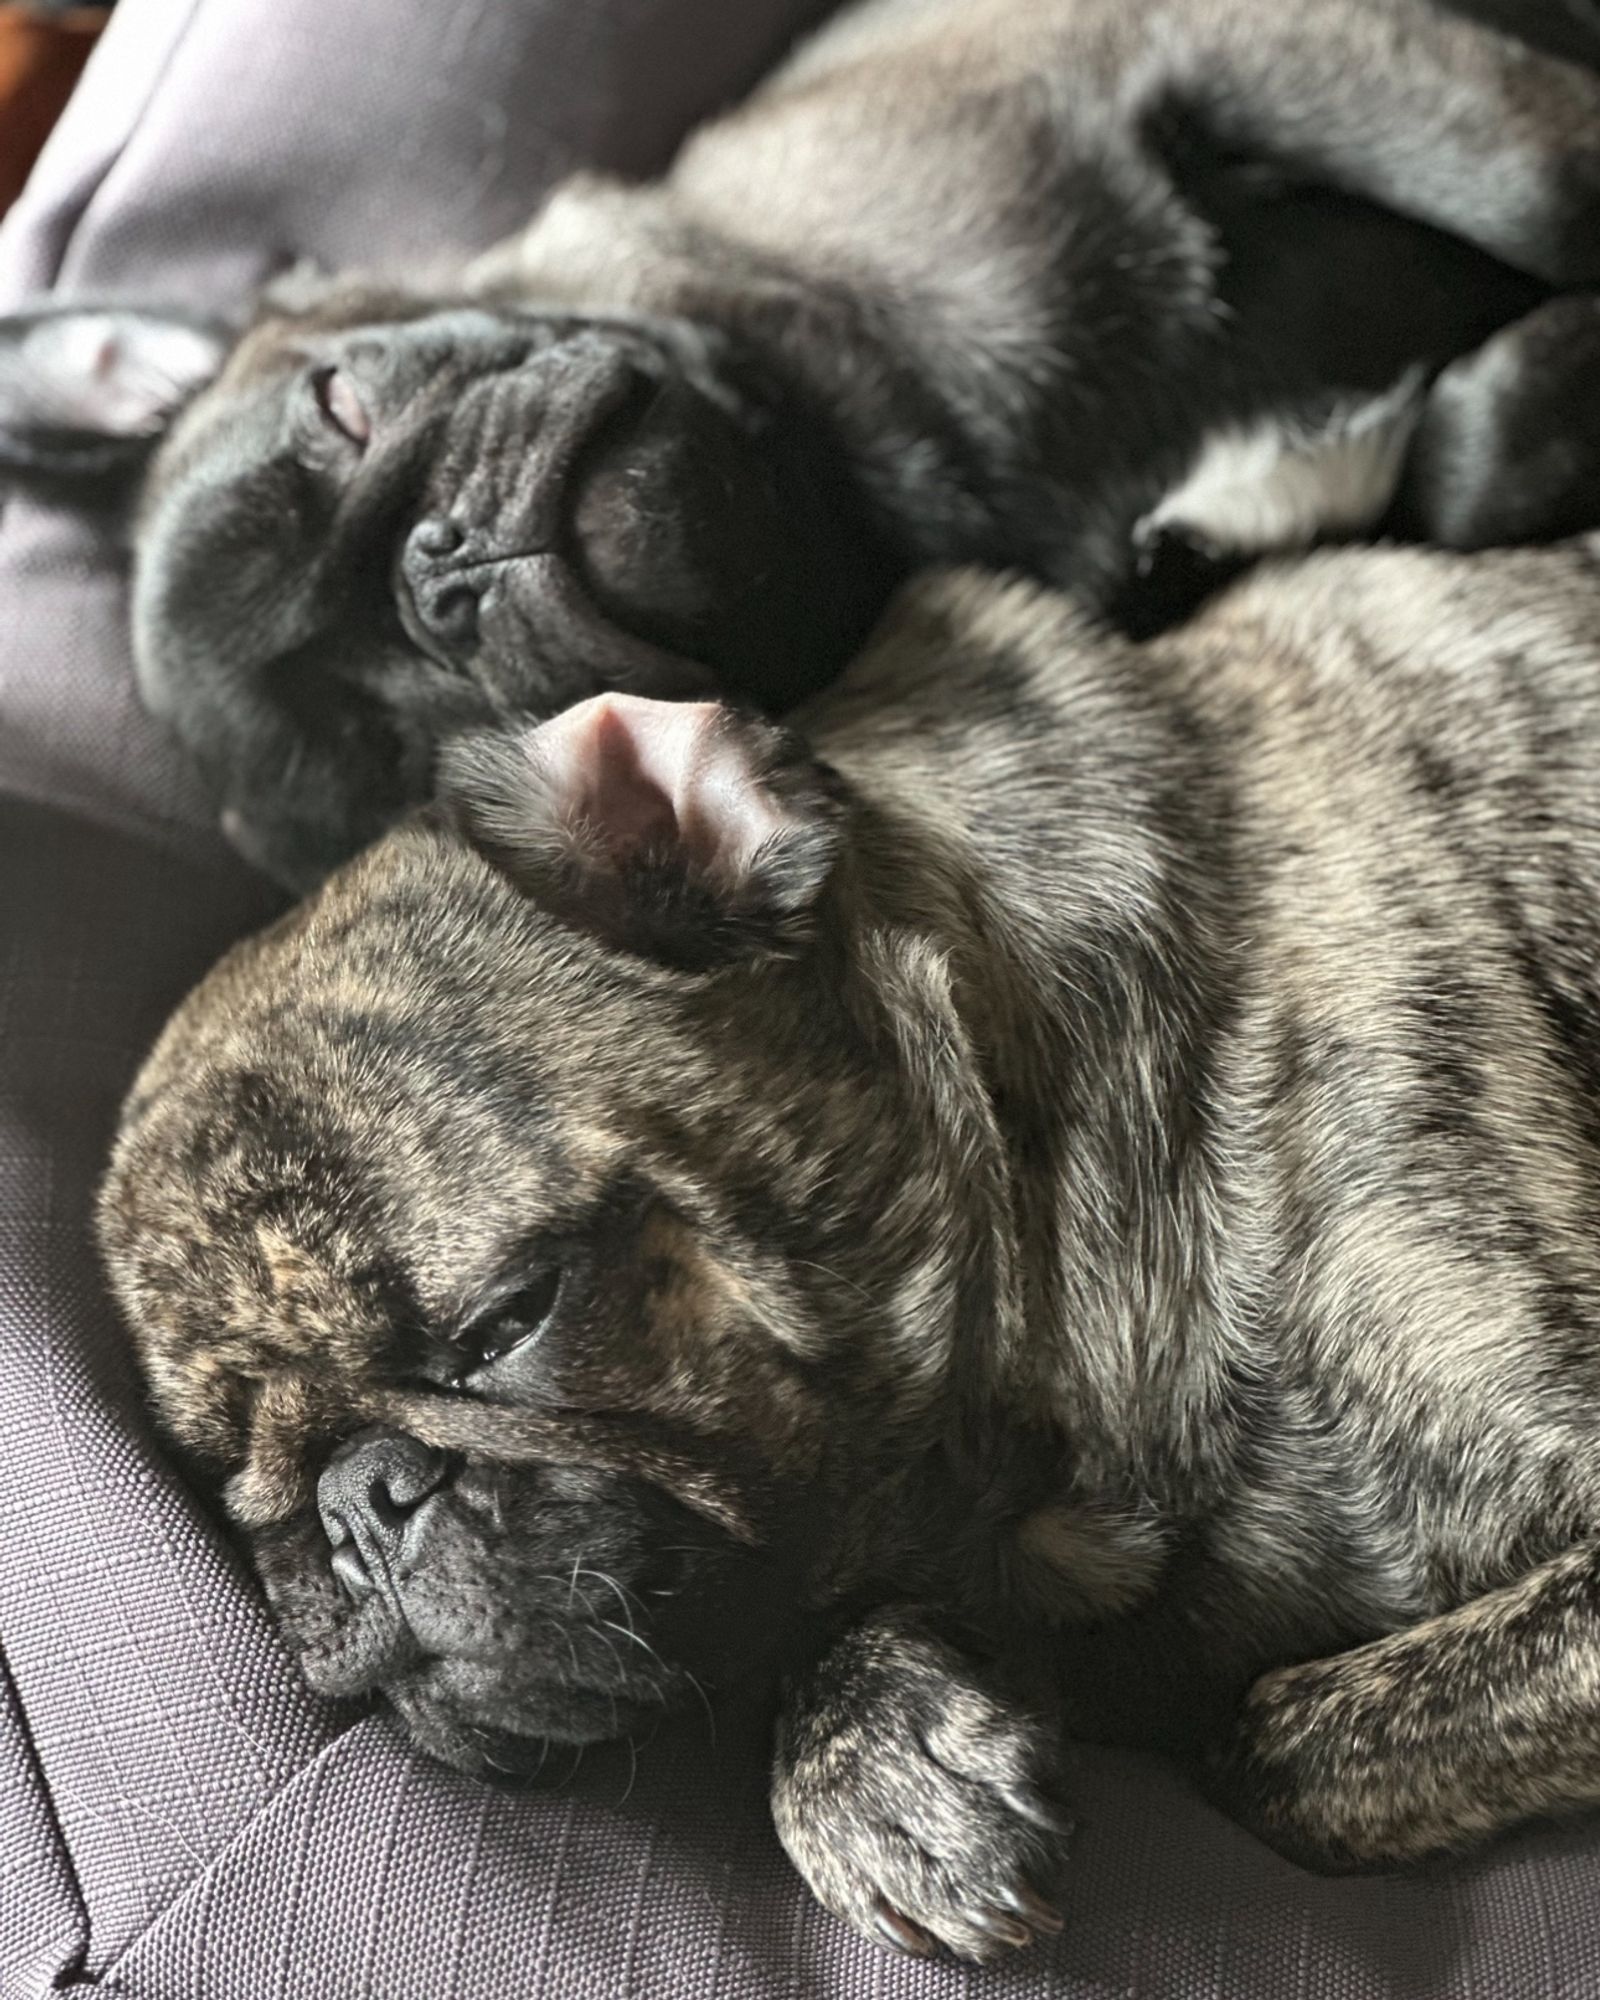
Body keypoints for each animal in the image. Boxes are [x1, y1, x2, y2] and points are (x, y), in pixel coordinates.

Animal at [3, 0, 1600, 884]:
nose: (436, 572)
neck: (837, 474)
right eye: (395, 754)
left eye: (345, 404)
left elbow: (1550, 179)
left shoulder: (1227, 40)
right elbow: (1453, 461)